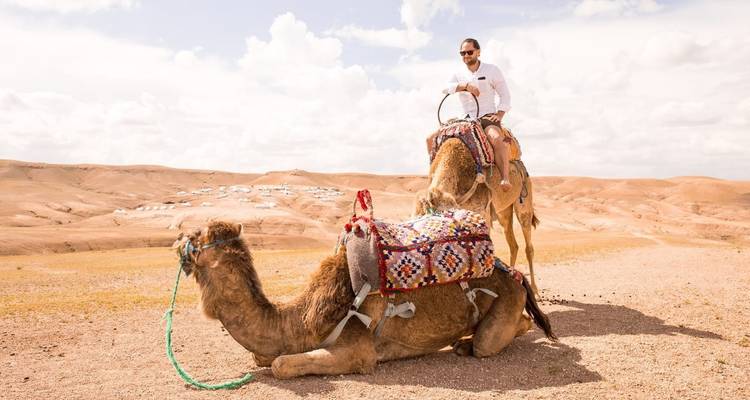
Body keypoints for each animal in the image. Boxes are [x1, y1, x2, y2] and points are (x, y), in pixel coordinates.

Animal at [173, 221, 556, 379]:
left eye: (196, 236)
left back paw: (467, 344)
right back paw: (462, 342)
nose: (176, 238)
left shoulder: (357, 350)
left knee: (491, 340)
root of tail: (513, 273)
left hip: (505, 304)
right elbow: (262, 356)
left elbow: (281, 364)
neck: (299, 320)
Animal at [416, 136, 541, 295]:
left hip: (524, 200)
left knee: (528, 245)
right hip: (503, 212)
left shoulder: (482, 211)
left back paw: (534, 289)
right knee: (513, 244)